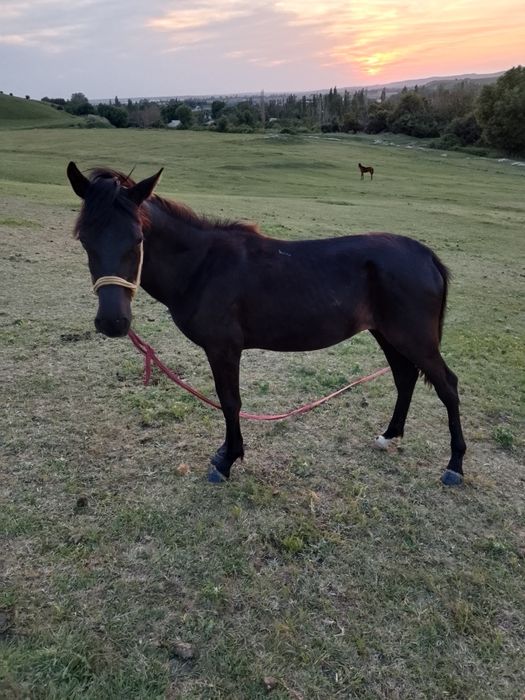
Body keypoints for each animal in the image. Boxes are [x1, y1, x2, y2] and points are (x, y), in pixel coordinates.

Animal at [66, 162, 466, 486]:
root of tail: (426, 256)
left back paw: (455, 466)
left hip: (413, 337)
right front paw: (227, 454)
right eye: (83, 239)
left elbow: (230, 401)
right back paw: (390, 435)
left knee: (447, 385)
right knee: (405, 377)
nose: (113, 321)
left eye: (138, 238)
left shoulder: (224, 348)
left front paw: (226, 461)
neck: (204, 266)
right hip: (387, 333)